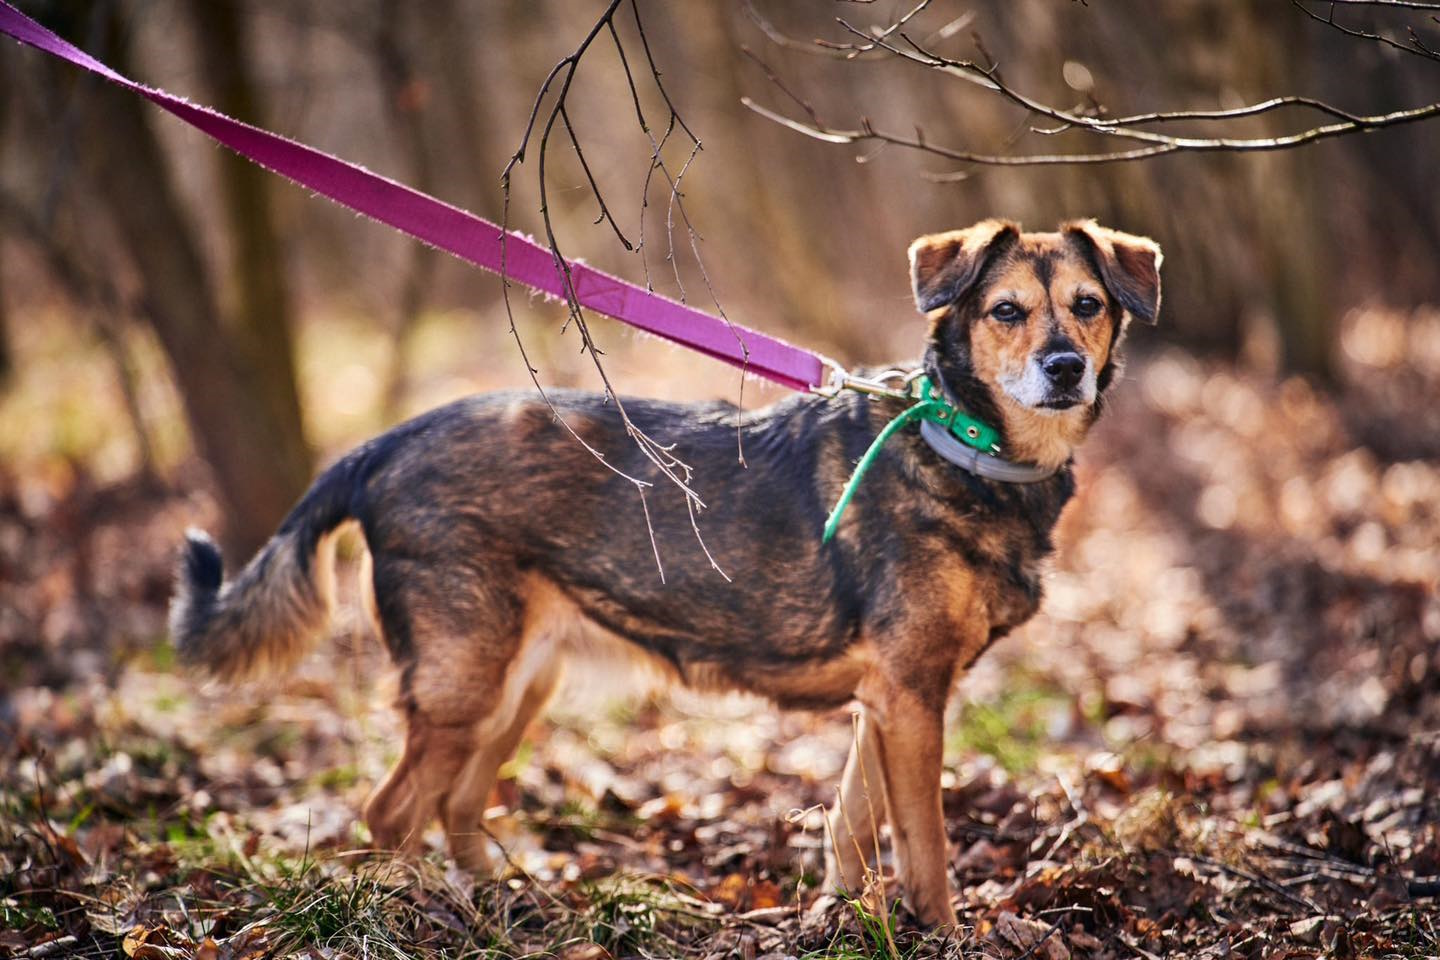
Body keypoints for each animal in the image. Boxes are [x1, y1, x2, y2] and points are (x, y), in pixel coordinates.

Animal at [168, 215, 1157, 921]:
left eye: (1089, 305)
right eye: (1006, 312)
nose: (1064, 369)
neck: (964, 442)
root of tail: (381, 446)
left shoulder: (886, 702)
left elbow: (849, 829)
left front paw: (836, 922)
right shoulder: (912, 697)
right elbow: (928, 853)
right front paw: (936, 933)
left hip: (520, 679)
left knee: (455, 806)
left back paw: (495, 905)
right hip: (464, 679)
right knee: (392, 812)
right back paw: (418, 913)